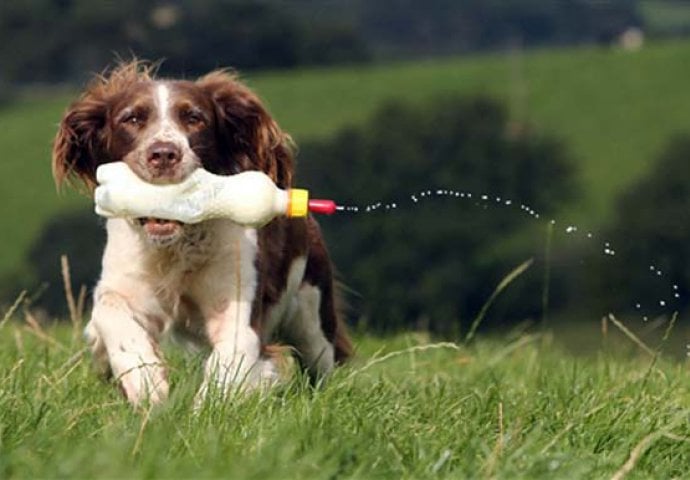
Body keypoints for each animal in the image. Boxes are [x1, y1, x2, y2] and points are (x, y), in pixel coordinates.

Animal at [51, 61, 350, 404]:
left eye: (194, 118)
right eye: (132, 118)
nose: (163, 154)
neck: (178, 245)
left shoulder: (237, 305)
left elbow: (229, 361)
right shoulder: (125, 281)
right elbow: (109, 312)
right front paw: (146, 382)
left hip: (313, 312)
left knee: (321, 360)